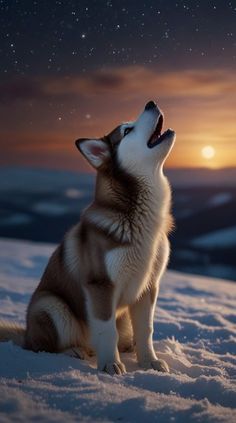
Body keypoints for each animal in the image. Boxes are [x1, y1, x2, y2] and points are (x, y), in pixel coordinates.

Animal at [0, 101, 175, 376]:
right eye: (126, 130)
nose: (151, 103)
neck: (138, 219)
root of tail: (26, 334)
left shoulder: (148, 287)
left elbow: (146, 330)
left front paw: (149, 362)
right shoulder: (100, 285)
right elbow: (106, 330)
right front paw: (110, 364)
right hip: (51, 306)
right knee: (42, 347)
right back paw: (73, 351)